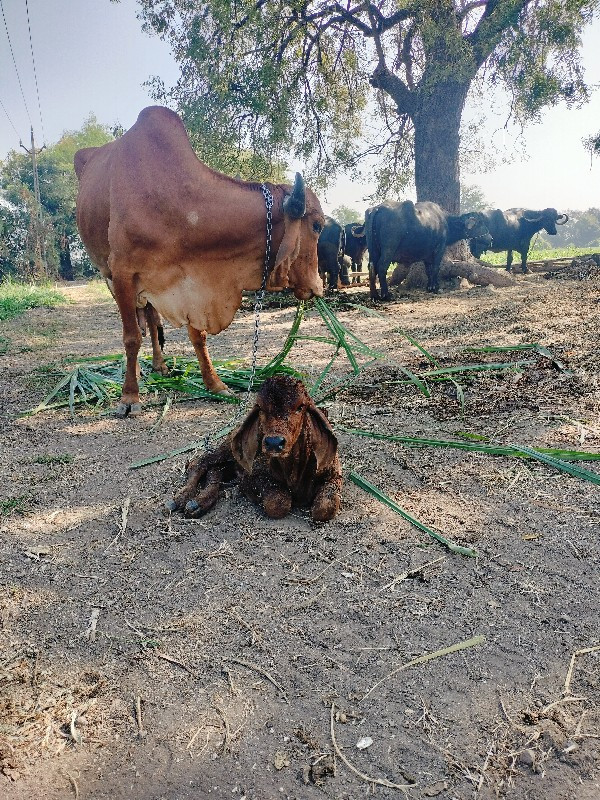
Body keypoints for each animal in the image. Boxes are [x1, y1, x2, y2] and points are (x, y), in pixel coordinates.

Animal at [77, 105, 326, 416]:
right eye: (317, 226)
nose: (318, 287)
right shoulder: (123, 273)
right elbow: (132, 337)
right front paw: (129, 397)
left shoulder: (192, 280)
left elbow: (198, 337)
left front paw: (215, 384)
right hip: (109, 275)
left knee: (153, 319)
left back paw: (160, 365)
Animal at [168, 376, 342, 520]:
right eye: (261, 408)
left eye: (300, 407)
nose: (274, 442)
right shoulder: (252, 476)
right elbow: (278, 503)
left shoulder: (335, 476)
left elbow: (325, 508)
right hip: (227, 449)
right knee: (200, 462)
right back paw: (181, 498)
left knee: (216, 470)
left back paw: (198, 503)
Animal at [358, 200, 490, 300]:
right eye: (480, 223)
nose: (490, 238)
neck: (445, 222)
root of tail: (377, 209)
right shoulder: (439, 248)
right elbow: (436, 268)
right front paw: (435, 287)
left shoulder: (427, 254)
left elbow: (428, 270)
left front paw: (429, 286)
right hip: (389, 249)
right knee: (381, 267)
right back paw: (386, 295)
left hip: (373, 250)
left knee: (372, 267)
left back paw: (374, 295)